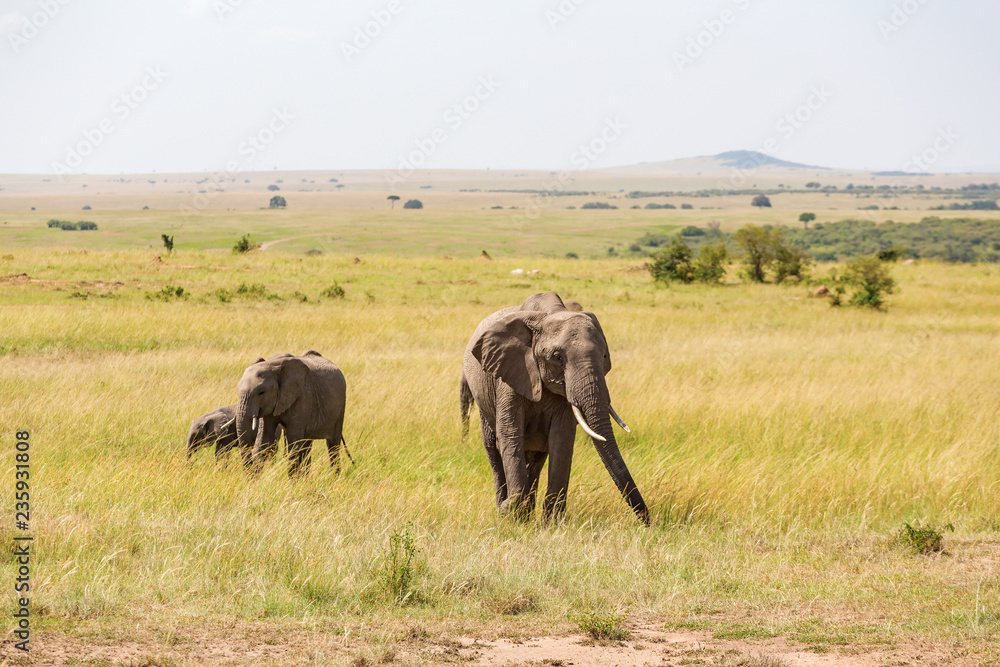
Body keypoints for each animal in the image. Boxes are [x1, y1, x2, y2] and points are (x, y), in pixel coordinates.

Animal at [462, 291, 649, 524]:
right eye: (557, 358)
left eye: (604, 356)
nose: (649, 522)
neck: (548, 314)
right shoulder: (509, 374)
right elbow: (509, 435)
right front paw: (508, 512)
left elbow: (562, 439)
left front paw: (550, 524)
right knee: (494, 452)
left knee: (536, 460)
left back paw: (526, 515)